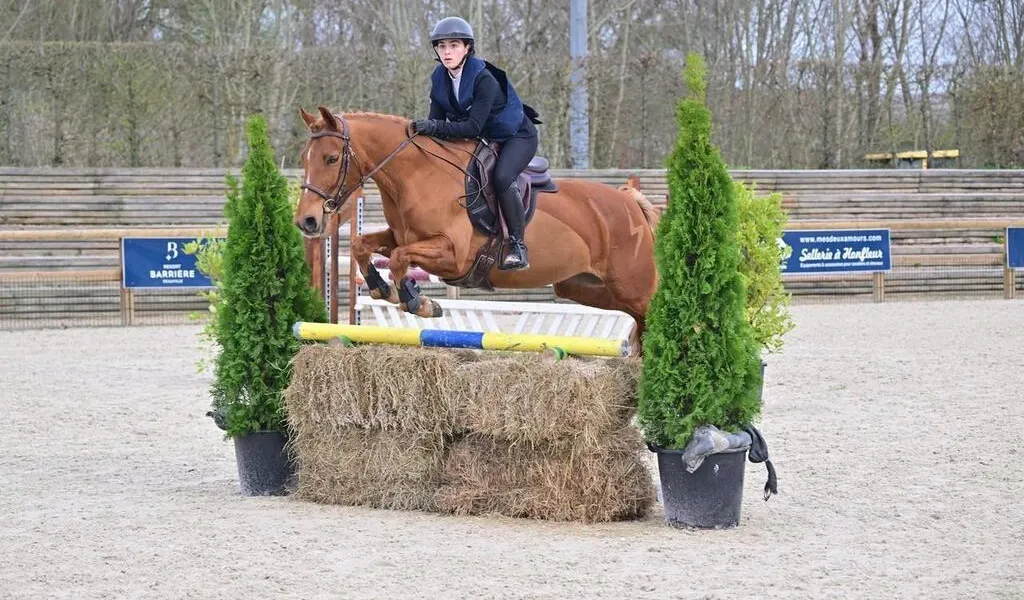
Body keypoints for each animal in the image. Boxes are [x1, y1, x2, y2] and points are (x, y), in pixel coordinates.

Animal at [294, 106, 660, 351]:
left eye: (331, 159)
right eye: (304, 158)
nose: (306, 221)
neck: (416, 176)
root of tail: (628, 201)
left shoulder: (453, 255)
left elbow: (399, 259)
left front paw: (417, 301)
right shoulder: (400, 236)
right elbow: (362, 246)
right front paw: (382, 288)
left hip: (633, 286)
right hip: (582, 287)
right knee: (637, 321)